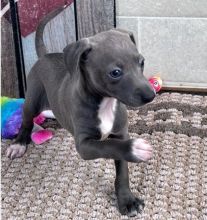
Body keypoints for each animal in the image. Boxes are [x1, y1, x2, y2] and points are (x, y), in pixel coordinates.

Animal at [6, 5, 154, 217]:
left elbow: (122, 168)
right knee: (26, 121)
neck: (105, 103)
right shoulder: (84, 146)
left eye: (141, 62)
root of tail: (45, 56)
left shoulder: (120, 132)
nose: (151, 95)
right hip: (32, 100)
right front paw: (135, 148)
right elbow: (108, 145)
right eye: (115, 72)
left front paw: (127, 200)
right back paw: (19, 143)